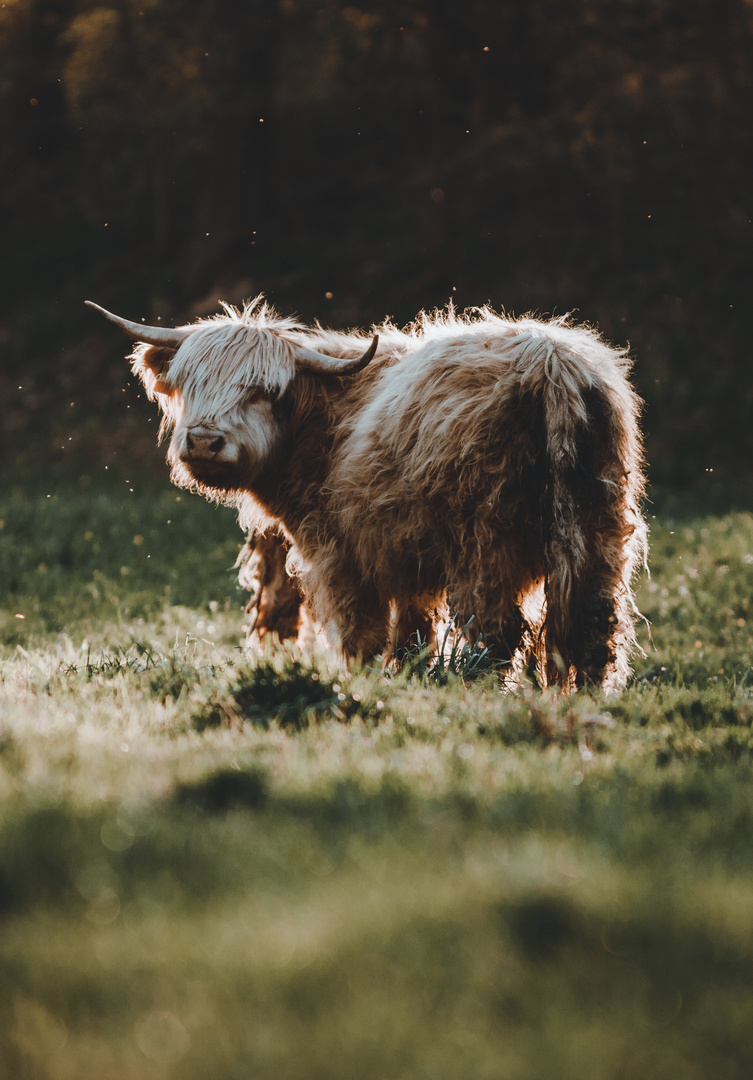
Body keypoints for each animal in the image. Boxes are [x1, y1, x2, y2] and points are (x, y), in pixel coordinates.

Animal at [88, 293, 648, 691]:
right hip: (600, 529)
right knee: (595, 624)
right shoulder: (411, 559)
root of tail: (552, 364)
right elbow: (413, 633)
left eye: (264, 392)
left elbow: (361, 633)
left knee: (497, 629)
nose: (204, 440)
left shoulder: (342, 555)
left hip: (484, 543)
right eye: (190, 382)